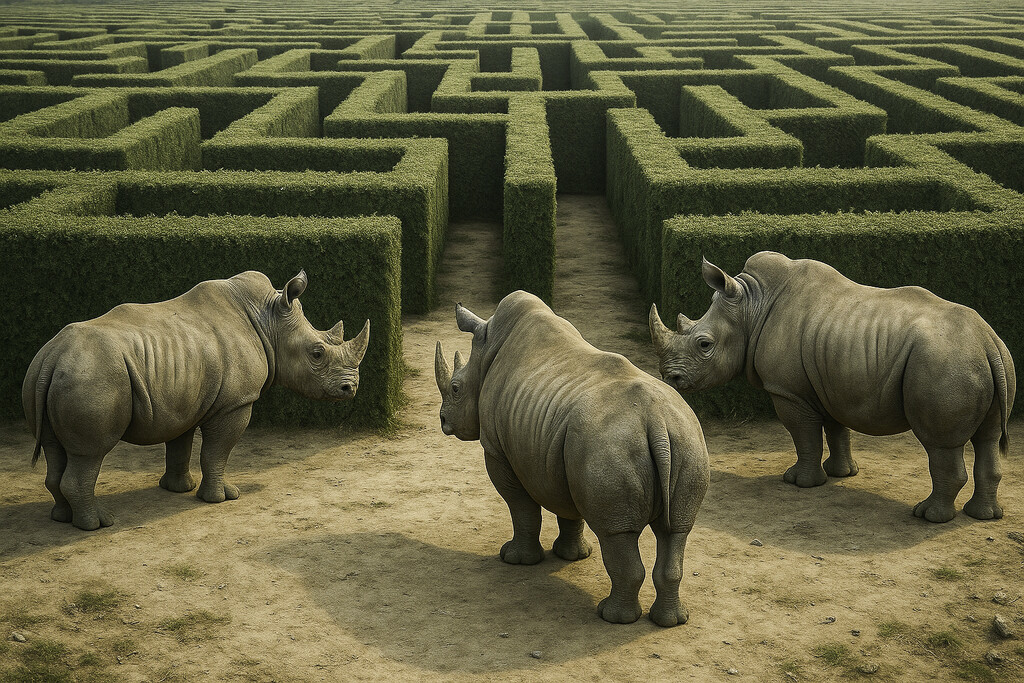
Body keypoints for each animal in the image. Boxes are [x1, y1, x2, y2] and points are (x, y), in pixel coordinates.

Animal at [23, 270, 370, 531]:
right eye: (317, 353)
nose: (350, 389)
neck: (269, 322)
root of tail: (52, 356)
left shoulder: (183, 399)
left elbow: (181, 446)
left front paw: (179, 488)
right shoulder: (236, 403)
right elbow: (217, 452)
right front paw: (222, 497)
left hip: (50, 374)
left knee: (55, 448)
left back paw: (62, 518)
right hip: (94, 377)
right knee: (90, 453)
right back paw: (97, 525)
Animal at [434, 291, 710, 626]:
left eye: (456, 388)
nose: (443, 420)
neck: (487, 350)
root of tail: (656, 421)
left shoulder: (497, 450)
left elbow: (521, 507)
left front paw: (515, 559)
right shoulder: (563, 453)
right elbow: (569, 507)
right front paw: (573, 556)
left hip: (609, 445)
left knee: (616, 532)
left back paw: (611, 616)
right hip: (683, 440)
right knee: (677, 529)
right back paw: (671, 621)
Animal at [650, 251, 1015, 523]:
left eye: (704, 344)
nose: (671, 378)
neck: (751, 306)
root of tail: (986, 341)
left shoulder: (789, 391)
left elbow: (804, 436)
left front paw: (799, 482)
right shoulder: (832, 381)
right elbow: (837, 429)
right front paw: (842, 473)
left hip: (944, 364)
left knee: (940, 444)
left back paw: (928, 516)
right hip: (992, 362)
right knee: (988, 437)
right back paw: (983, 516)